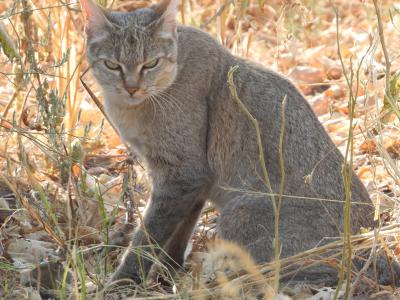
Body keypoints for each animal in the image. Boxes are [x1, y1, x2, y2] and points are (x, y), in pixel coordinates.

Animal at [79, 0, 396, 288]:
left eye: (150, 63)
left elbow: (148, 235)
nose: (132, 87)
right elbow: (178, 232)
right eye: (112, 64)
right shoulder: (193, 183)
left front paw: (121, 282)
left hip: (239, 215)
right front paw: (168, 273)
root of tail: (373, 245)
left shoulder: (182, 174)